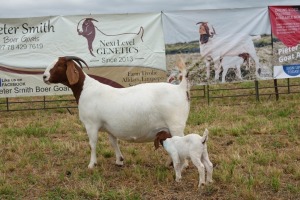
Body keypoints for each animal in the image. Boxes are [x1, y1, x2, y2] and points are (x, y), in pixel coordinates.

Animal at [42, 56, 190, 169]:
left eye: (59, 64)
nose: (44, 76)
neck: (86, 89)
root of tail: (180, 88)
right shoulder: (109, 127)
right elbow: (114, 142)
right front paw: (119, 160)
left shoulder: (91, 124)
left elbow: (92, 144)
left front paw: (91, 164)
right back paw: (170, 163)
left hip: (175, 125)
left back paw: (183, 165)